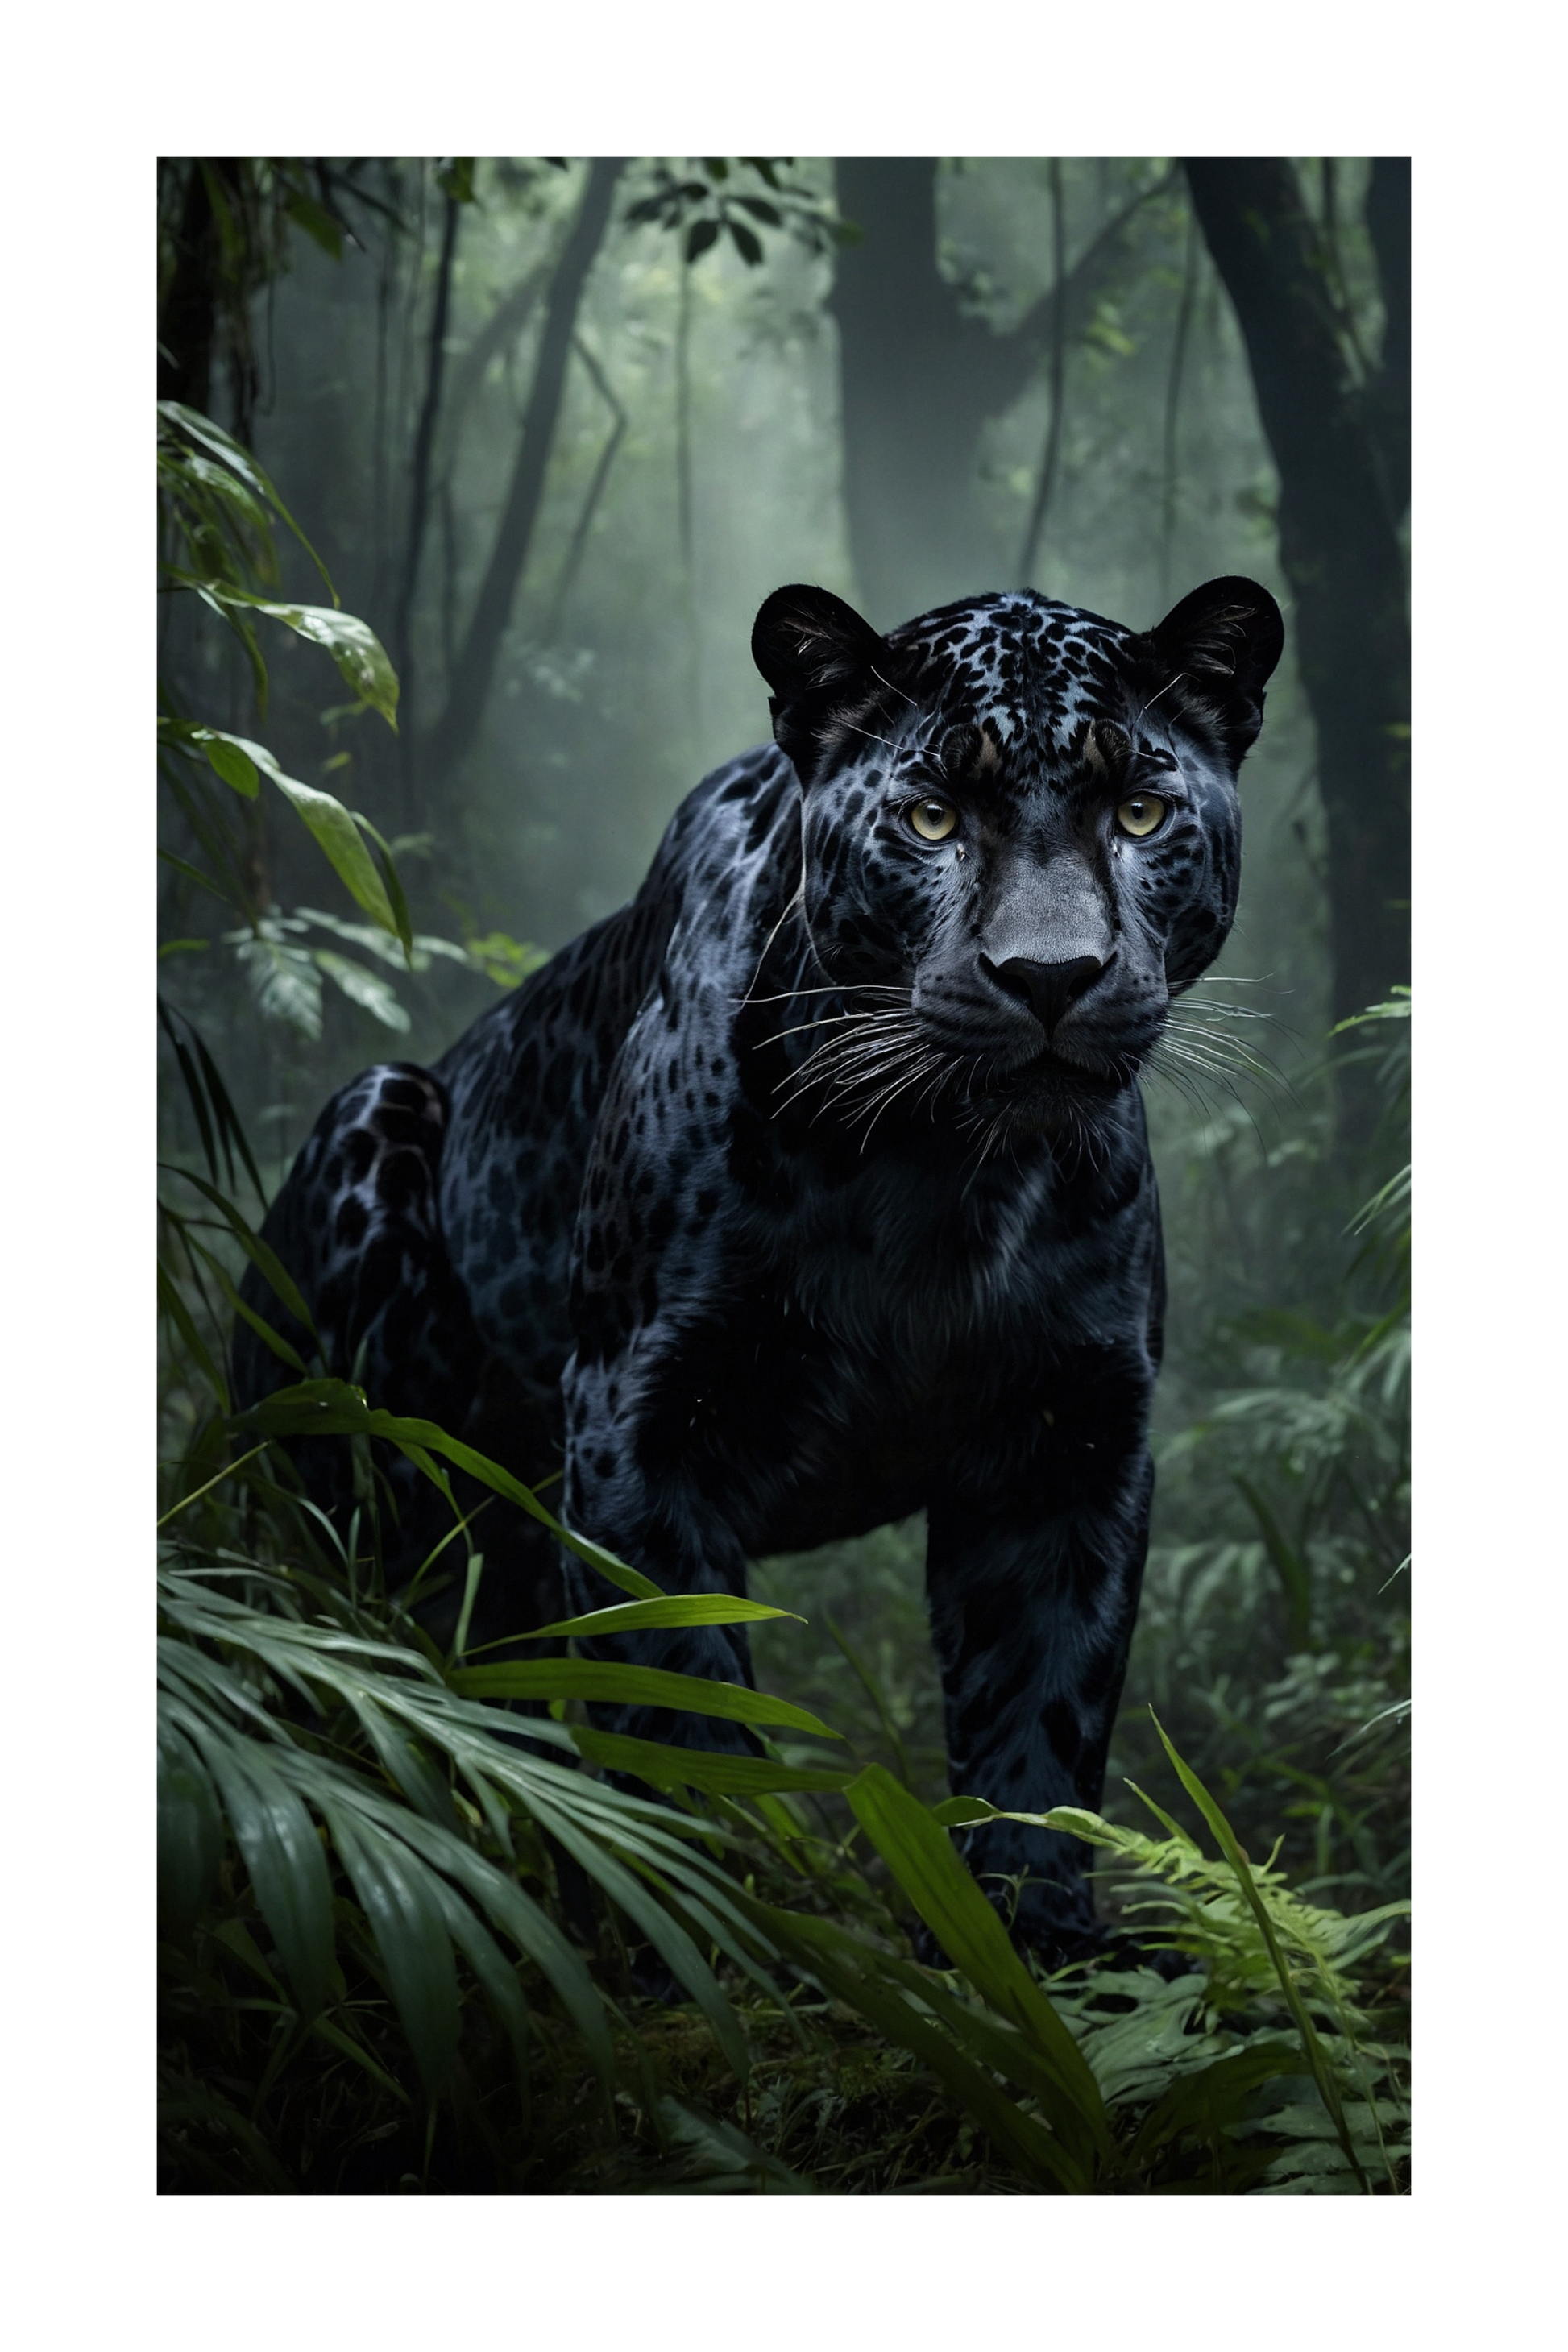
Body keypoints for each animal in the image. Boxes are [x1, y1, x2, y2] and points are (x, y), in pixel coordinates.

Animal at [235, 572, 1283, 1965]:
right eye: (931, 815)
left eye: (1139, 810)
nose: (1050, 976)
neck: (939, 1171)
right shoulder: (639, 1416)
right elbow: (674, 1694)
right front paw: (708, 1932)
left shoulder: (1071, 1434)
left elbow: (1040, 1713)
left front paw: (1037, 1951)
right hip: (373, 1151)